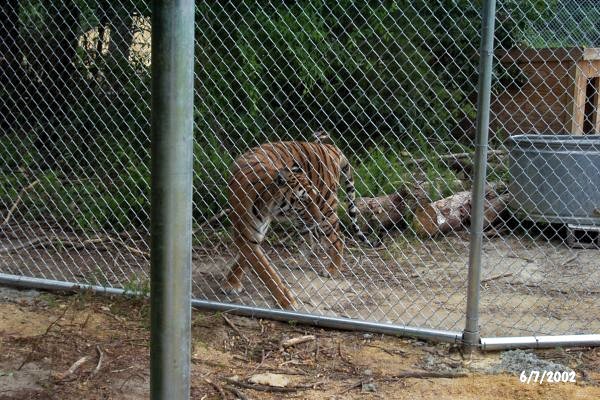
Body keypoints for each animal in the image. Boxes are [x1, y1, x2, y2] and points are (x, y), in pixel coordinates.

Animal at [223, 133, 378, 308]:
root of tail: (329, 147)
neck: (264, 204)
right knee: (311, 240)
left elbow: (265, 271)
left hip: (326, 207)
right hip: (304, 221)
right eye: (302, 200)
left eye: (313, 197)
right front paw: (231, 283)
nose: (317, 217)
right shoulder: (248, 232)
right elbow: (254, 264)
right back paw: (296, 263)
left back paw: (332, 270)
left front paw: (287, 302)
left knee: (339, 238)